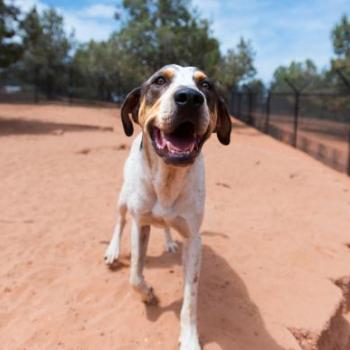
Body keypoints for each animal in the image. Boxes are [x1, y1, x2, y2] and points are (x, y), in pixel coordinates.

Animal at [105, 64, 231, 348]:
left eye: (206, 85)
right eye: (160, 81)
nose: (190, 98)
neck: (168, 178)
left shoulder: (194, 239)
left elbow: (190, 299)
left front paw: (190, 338)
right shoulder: (139, 223)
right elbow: (135, 275)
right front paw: (148, 295)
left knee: (164, 225)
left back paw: (169, 241)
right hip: (123, 196)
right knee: (119, 220)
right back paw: (113, 250)